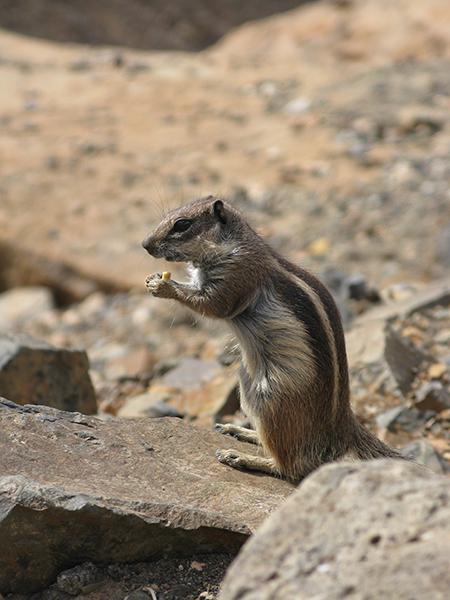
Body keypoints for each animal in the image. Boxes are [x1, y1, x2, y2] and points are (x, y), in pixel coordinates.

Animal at [142, 197, 400, 482]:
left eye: (182, 224)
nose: (145, 245)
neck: (233, 244)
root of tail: (340, 430)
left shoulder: (236, 278)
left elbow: (212, 305)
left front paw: (162, 286)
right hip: (247, 386)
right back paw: (240, 431)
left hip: (272, 401)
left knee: (290, 466)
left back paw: (242, 457)